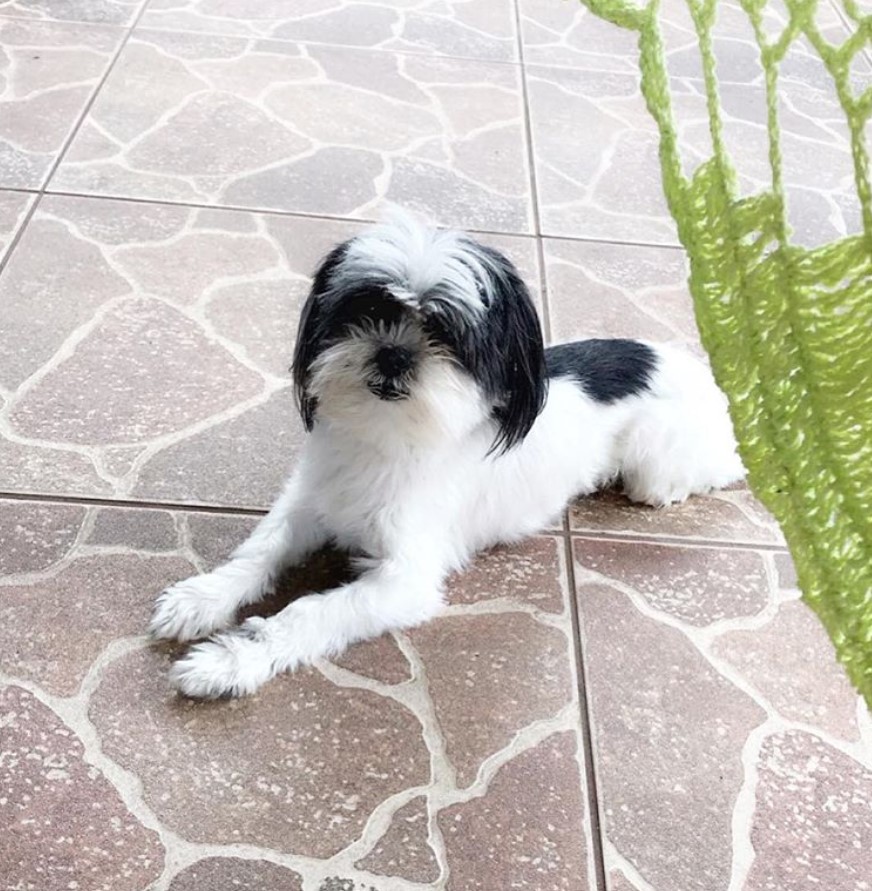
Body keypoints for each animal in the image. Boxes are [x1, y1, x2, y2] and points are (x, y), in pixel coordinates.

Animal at [150, 207, 744, 696]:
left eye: (447, 335)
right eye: (364, 310)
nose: (393, 353)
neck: (386, 439)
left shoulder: (403, 579)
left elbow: (310, 612)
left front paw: (229, 662)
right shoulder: (308, 505)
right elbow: (258, 553)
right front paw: (202, 597)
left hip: (659, 461)